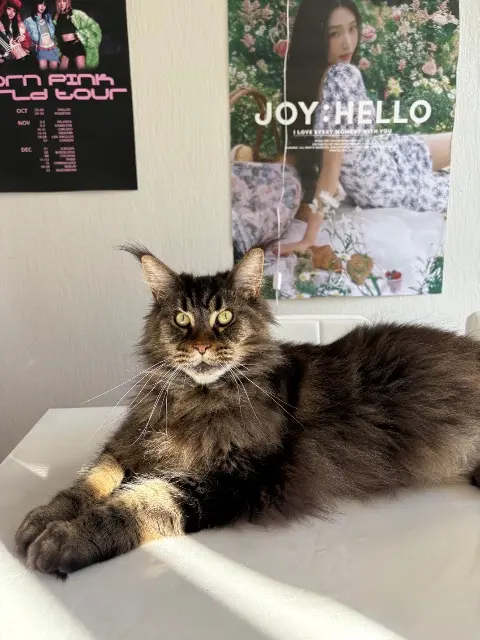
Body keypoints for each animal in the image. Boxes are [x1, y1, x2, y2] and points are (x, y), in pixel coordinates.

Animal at [15, 244, 480, 578]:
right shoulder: (127, 444)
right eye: (181, 319)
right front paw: (39, 521)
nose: (202, 346)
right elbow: (87, 483)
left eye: (224, 317)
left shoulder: (235, 480)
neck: (196, 402)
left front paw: (63, 541)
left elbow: (136, 505)